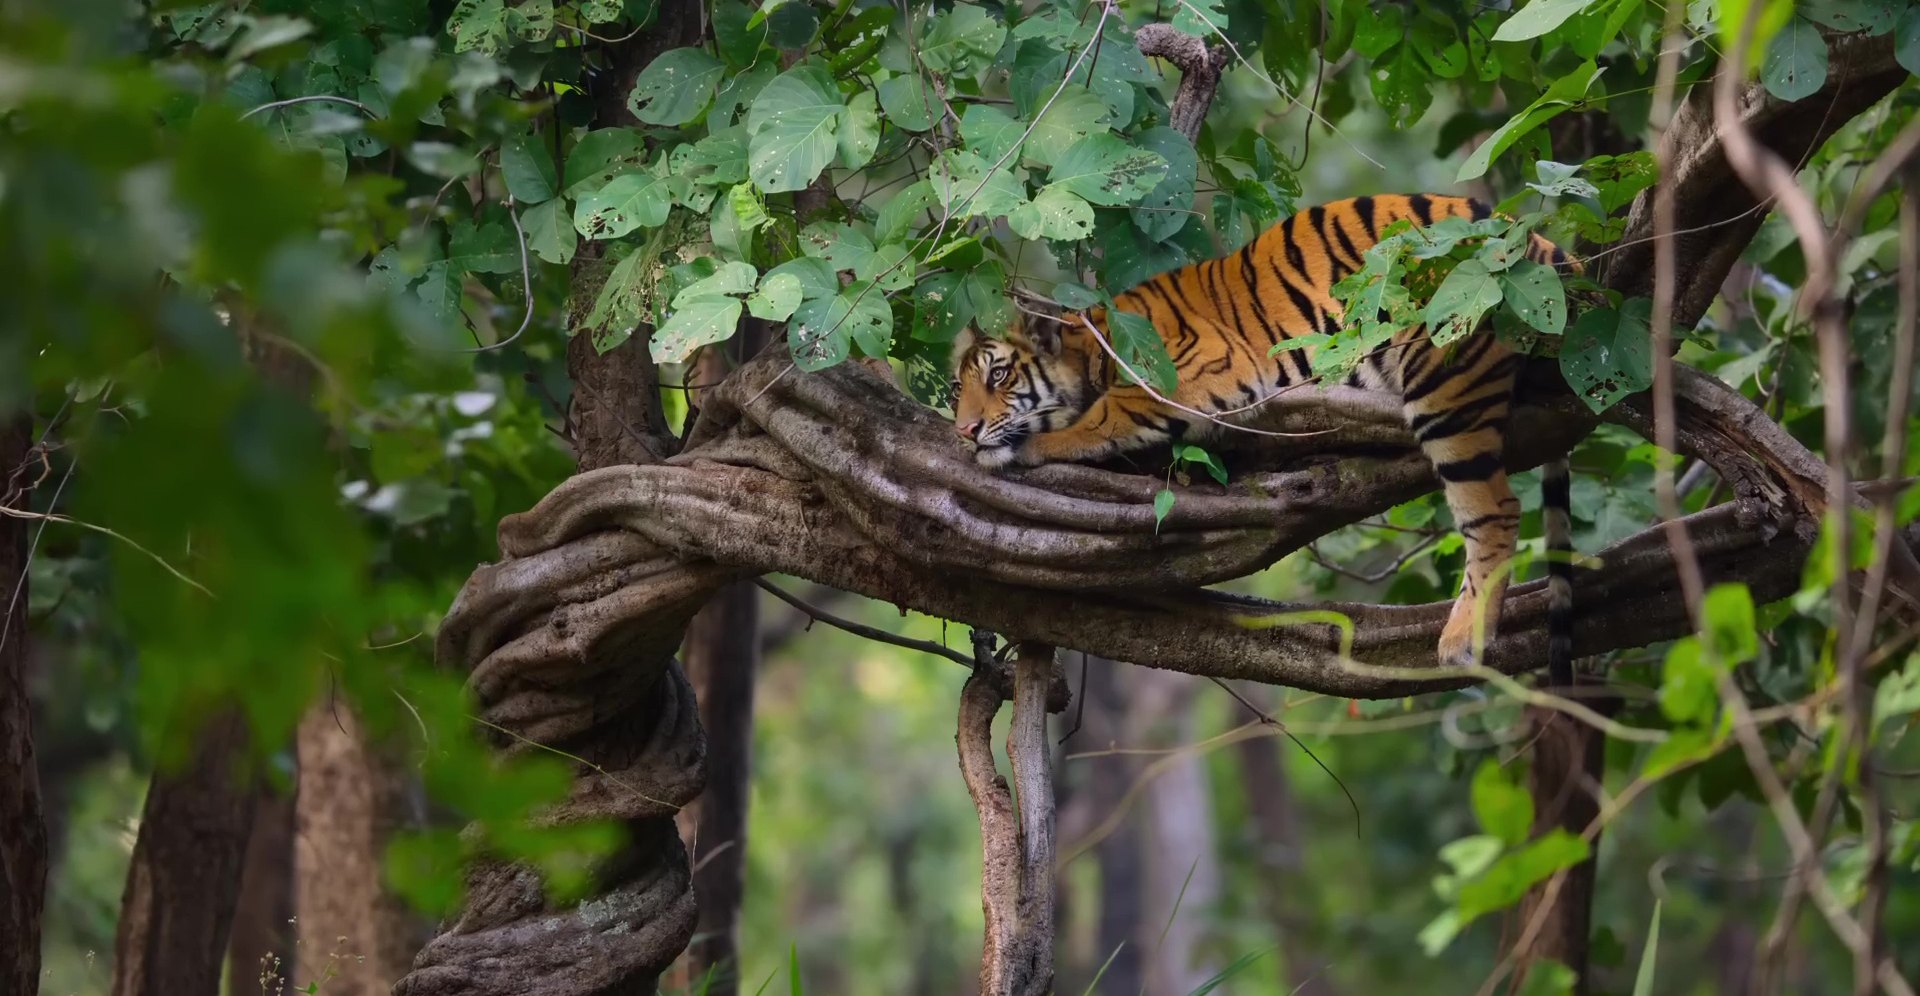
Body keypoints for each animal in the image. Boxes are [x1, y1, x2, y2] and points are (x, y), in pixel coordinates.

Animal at [950, 193, 1578, 685]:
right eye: (959, 386)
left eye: (998, 375)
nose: (964, 429)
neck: (1093, 346)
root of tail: (1537, 241)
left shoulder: (1192, 372)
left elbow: (1101, 419)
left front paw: (1027, 448)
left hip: (1445, 378)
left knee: (1495, 509)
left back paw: (1463, 640)